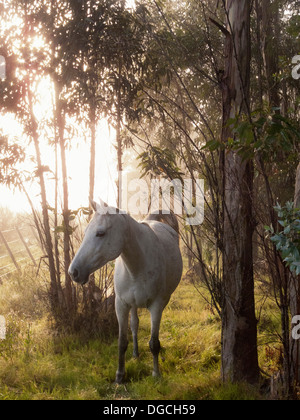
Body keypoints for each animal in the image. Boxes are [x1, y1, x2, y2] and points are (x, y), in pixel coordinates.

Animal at [69, 200, 182, 384]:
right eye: (86, 232)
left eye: (100, 233)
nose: (73, 272)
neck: (138, 265)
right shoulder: (121, 304)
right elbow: (122, 341)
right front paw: (119, 376)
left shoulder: (156, 306)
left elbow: (154, 343)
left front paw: (156, 374)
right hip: (133, 304)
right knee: (134, 325)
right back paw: (135, 354)